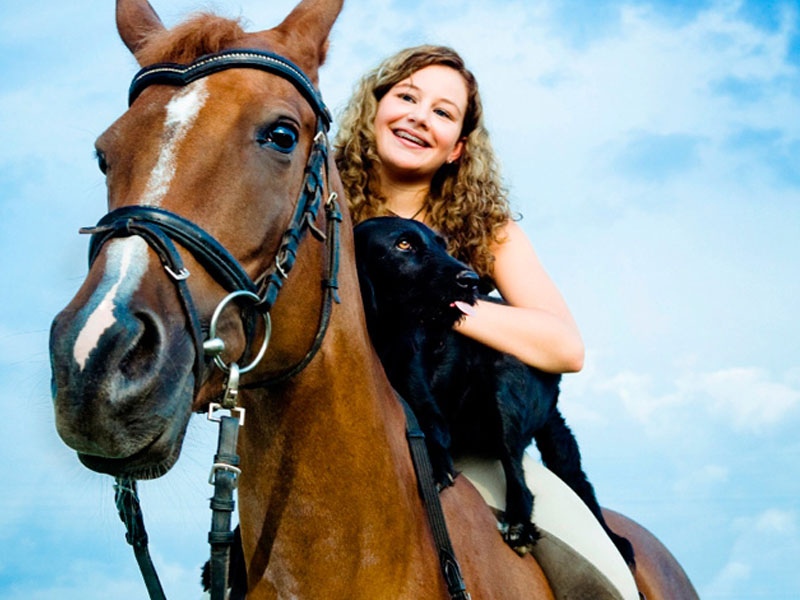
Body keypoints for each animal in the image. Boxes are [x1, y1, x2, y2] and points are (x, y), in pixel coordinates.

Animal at [49, 0, 699, 598]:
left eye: (282, 135)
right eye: (105, 153)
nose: (96, 361)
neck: (343, 544)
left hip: (511, 398)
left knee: (524, 461)